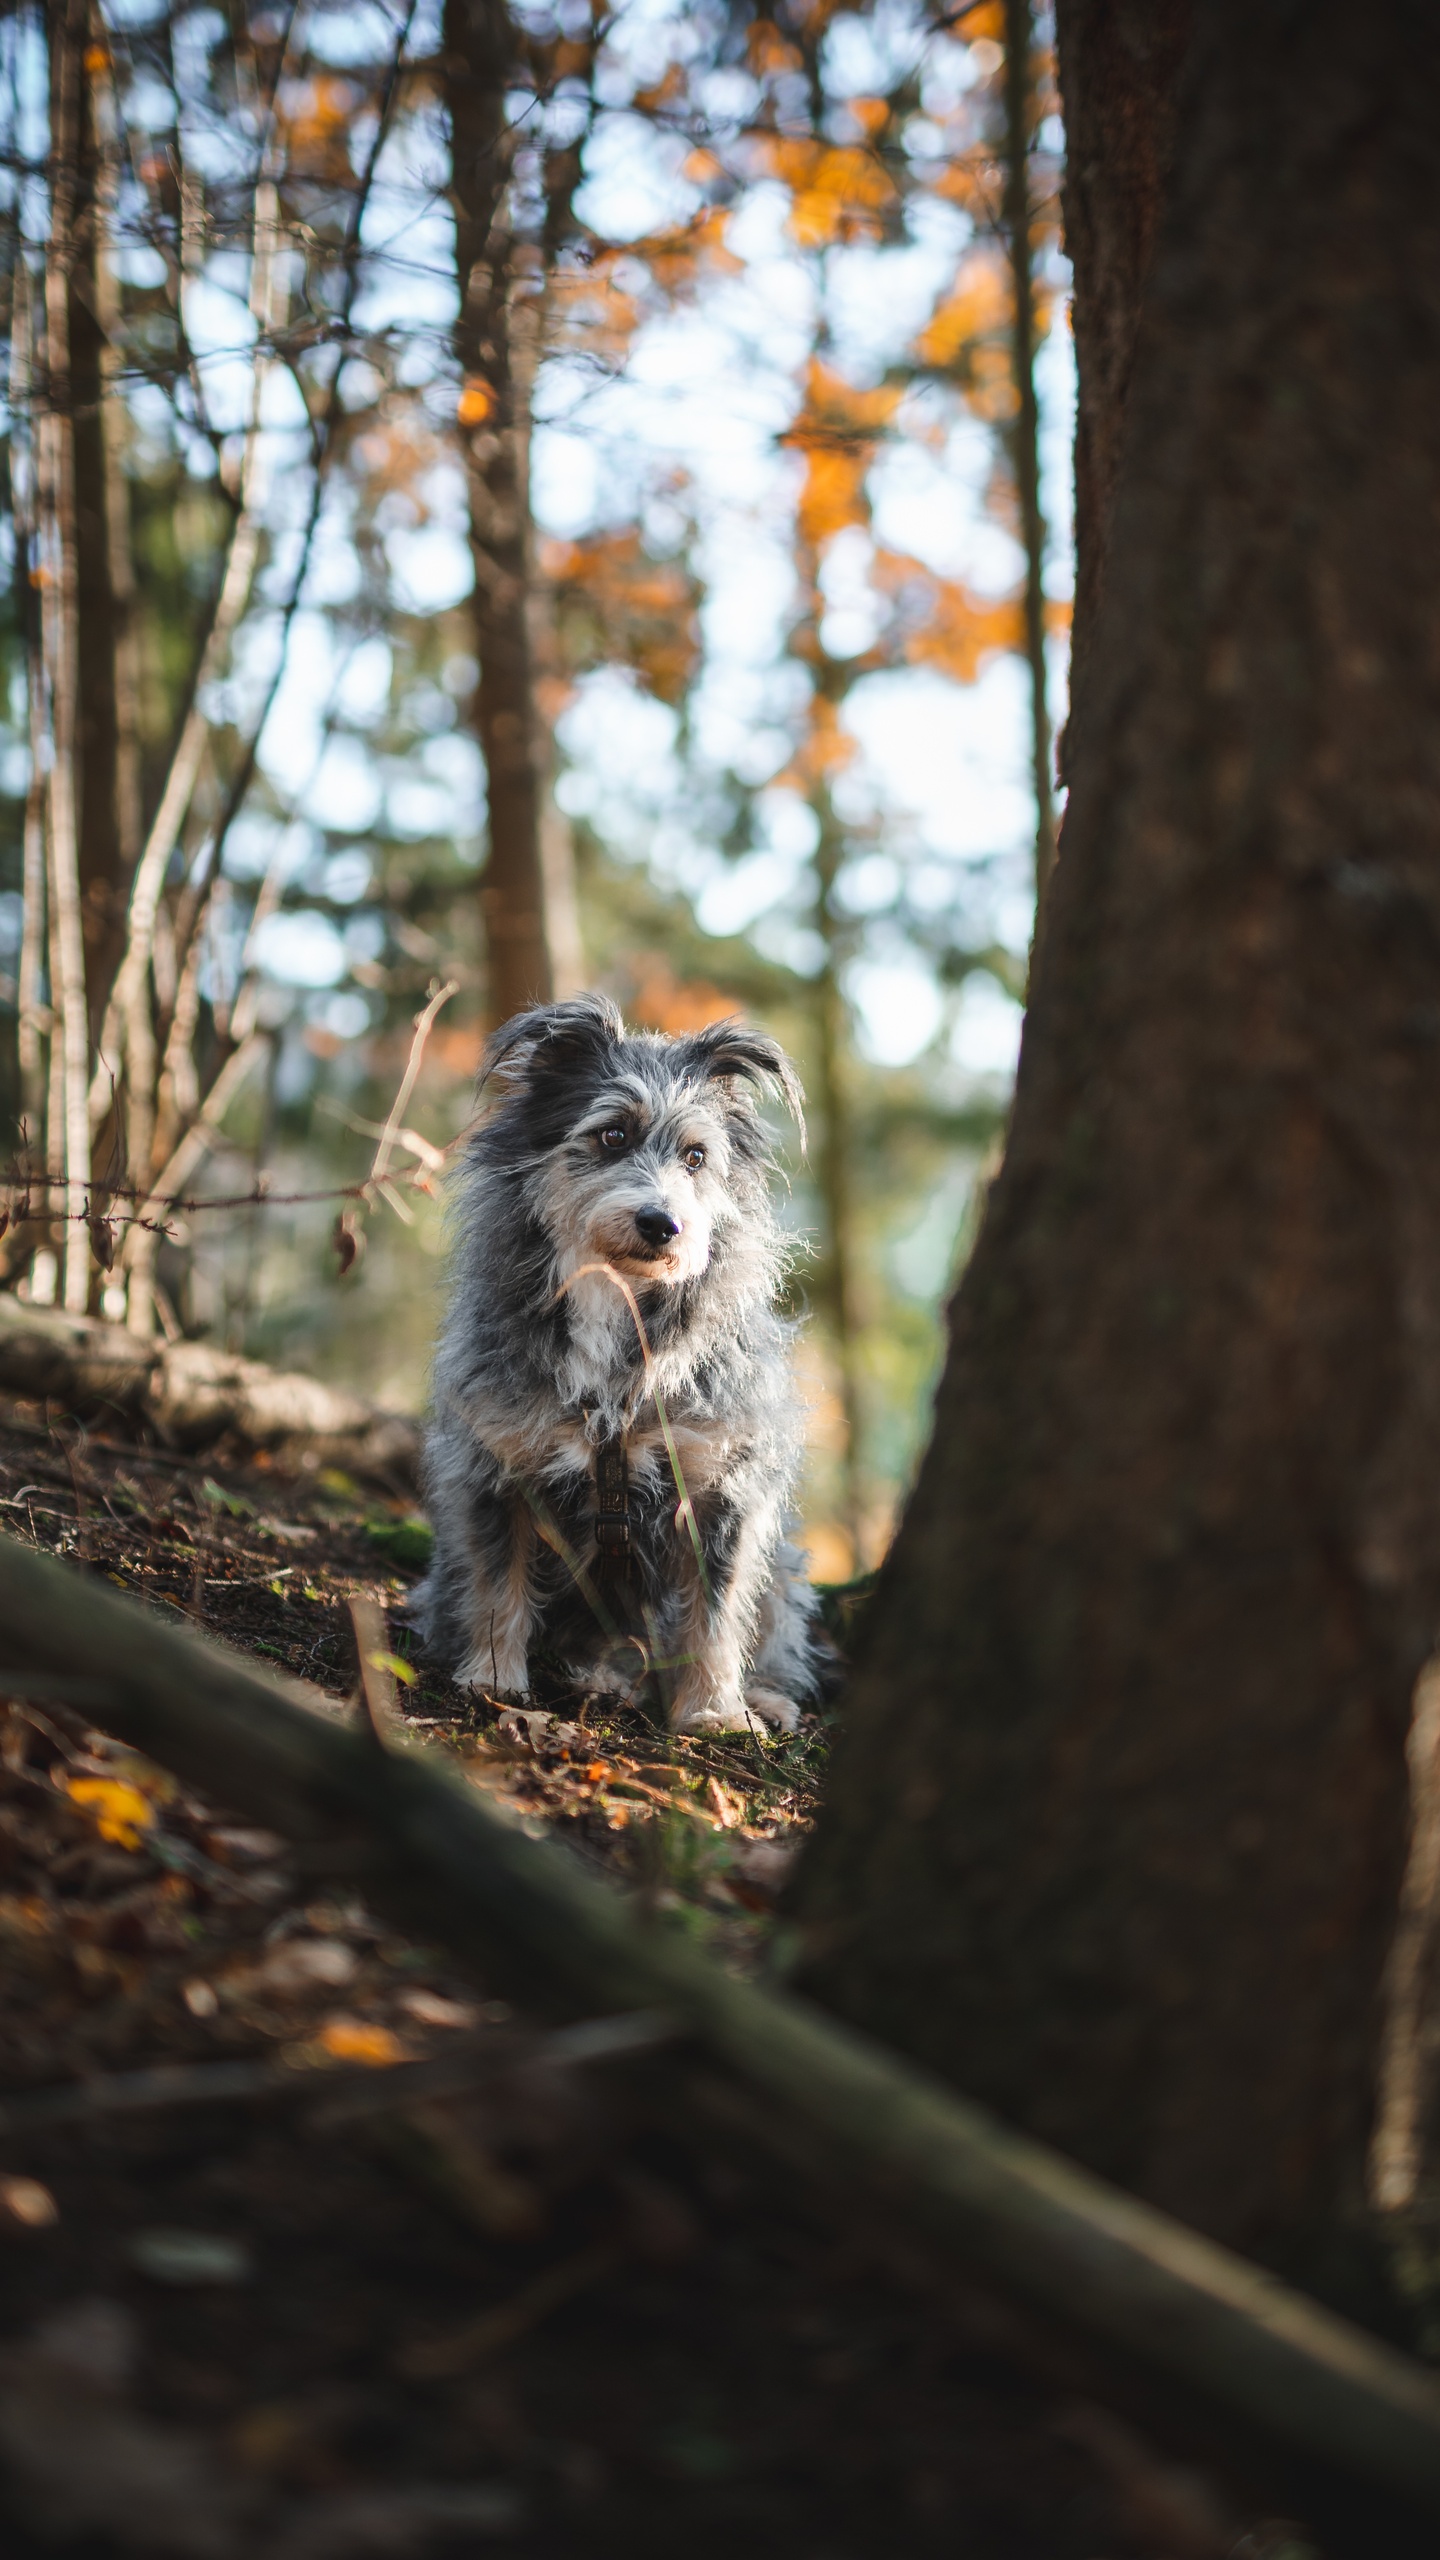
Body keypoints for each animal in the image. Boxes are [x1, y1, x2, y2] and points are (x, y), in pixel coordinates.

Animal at [412, 988, 819, 1730]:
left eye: (696, 1156)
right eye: (612, 1135)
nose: (663, 1224)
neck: (617, 1299)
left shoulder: (720, 1487)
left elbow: (715, 1612)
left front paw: (711, 1712)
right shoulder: (497, 1465)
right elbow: (496, 1582)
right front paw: (493, 1676)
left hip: (782, 1566)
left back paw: (758, 1697)